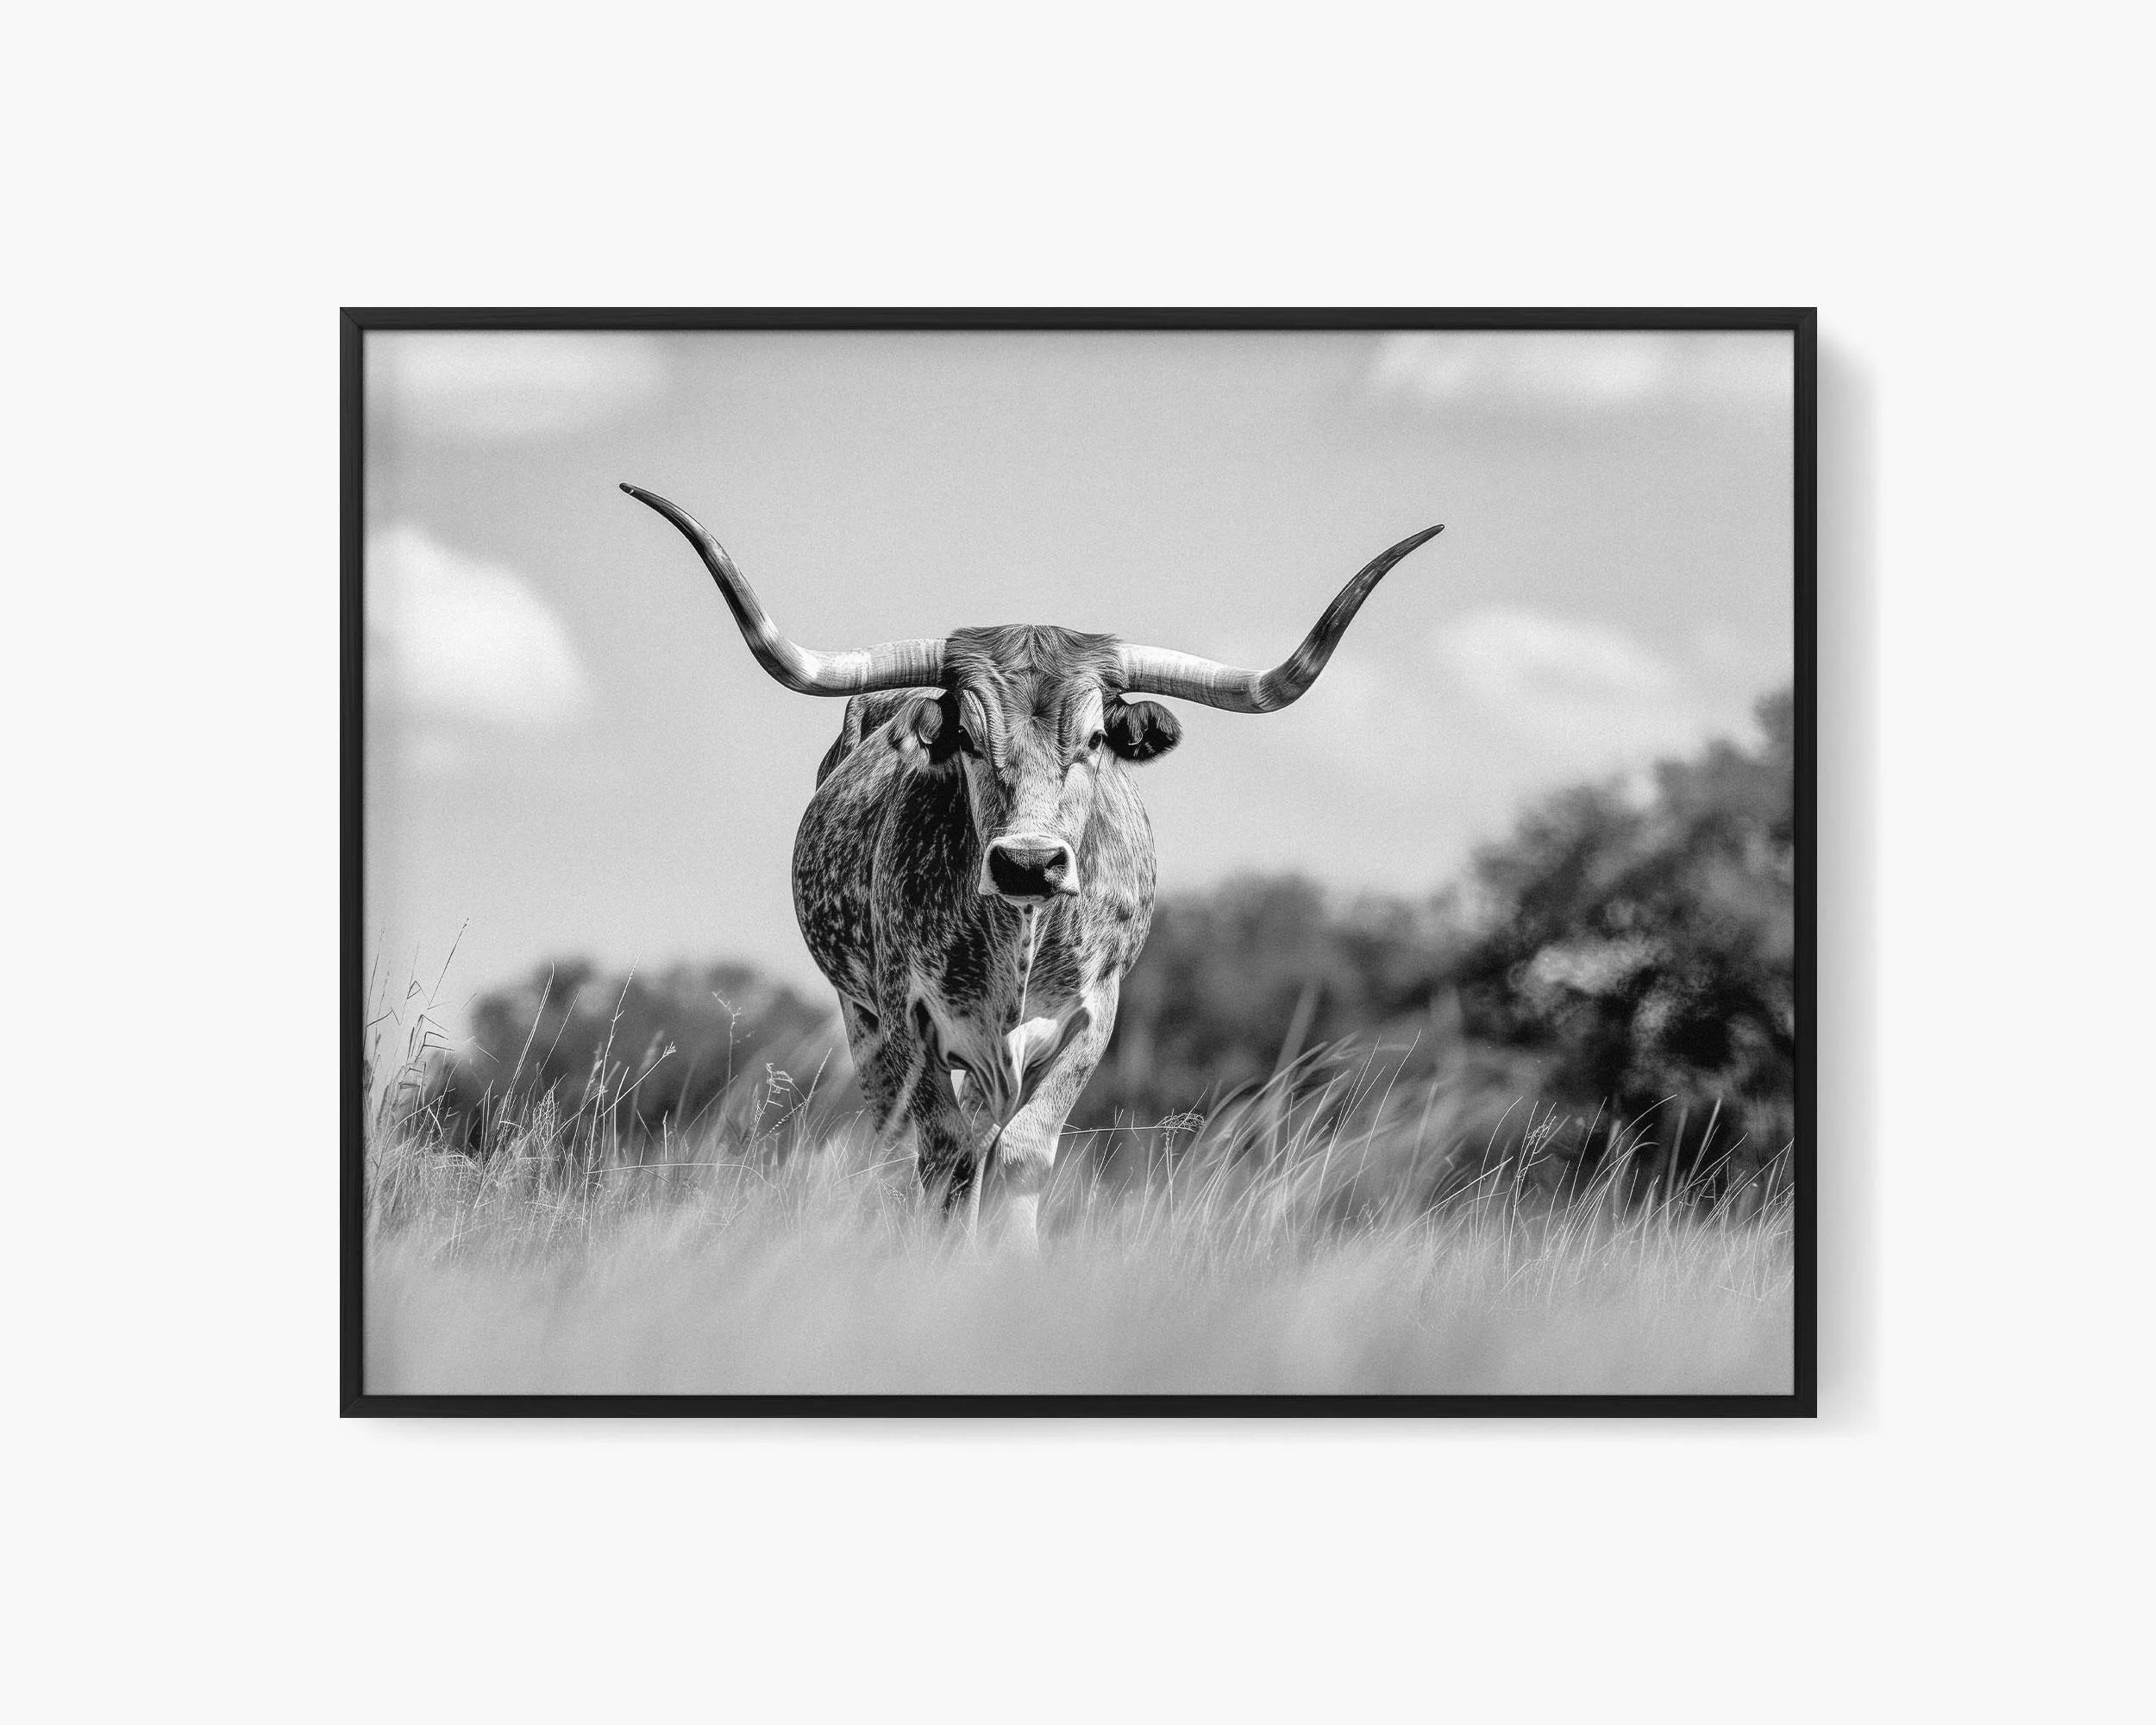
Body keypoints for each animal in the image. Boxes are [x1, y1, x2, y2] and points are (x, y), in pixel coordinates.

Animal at [623, 482, 1442, 1243]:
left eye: (1097, 738)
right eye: (967, 737)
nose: (1027, 864)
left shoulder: (1093, 1019)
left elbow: (1018, 1158)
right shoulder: (904, 1019)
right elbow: (946, 1159)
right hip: (866, 1026)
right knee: (903, 1150)